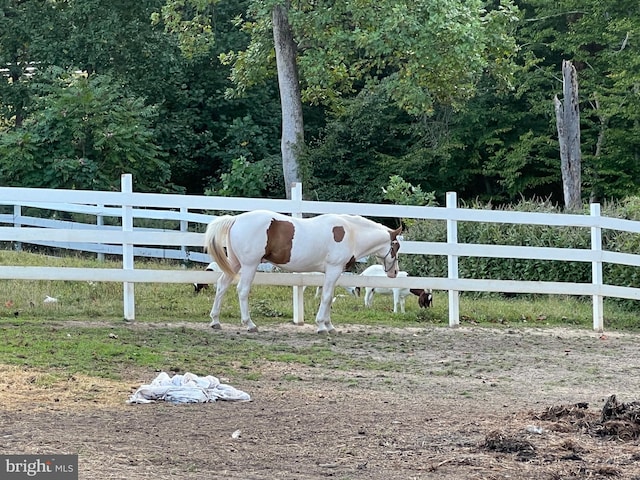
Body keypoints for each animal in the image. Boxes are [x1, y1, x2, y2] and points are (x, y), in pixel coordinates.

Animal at [205, 210, 400, 334]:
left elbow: (328, 297)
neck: (351, 233)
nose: (395, 273)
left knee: (222, 286)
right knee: (242, 290)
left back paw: (215, 321)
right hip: (249, 265)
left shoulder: (331, 272)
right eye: (396, 247)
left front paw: (329, 326)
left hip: (235, 263)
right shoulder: (334, 269)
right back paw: (250, 324)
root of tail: (235, 219)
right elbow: (326, 297)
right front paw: (321, 326)